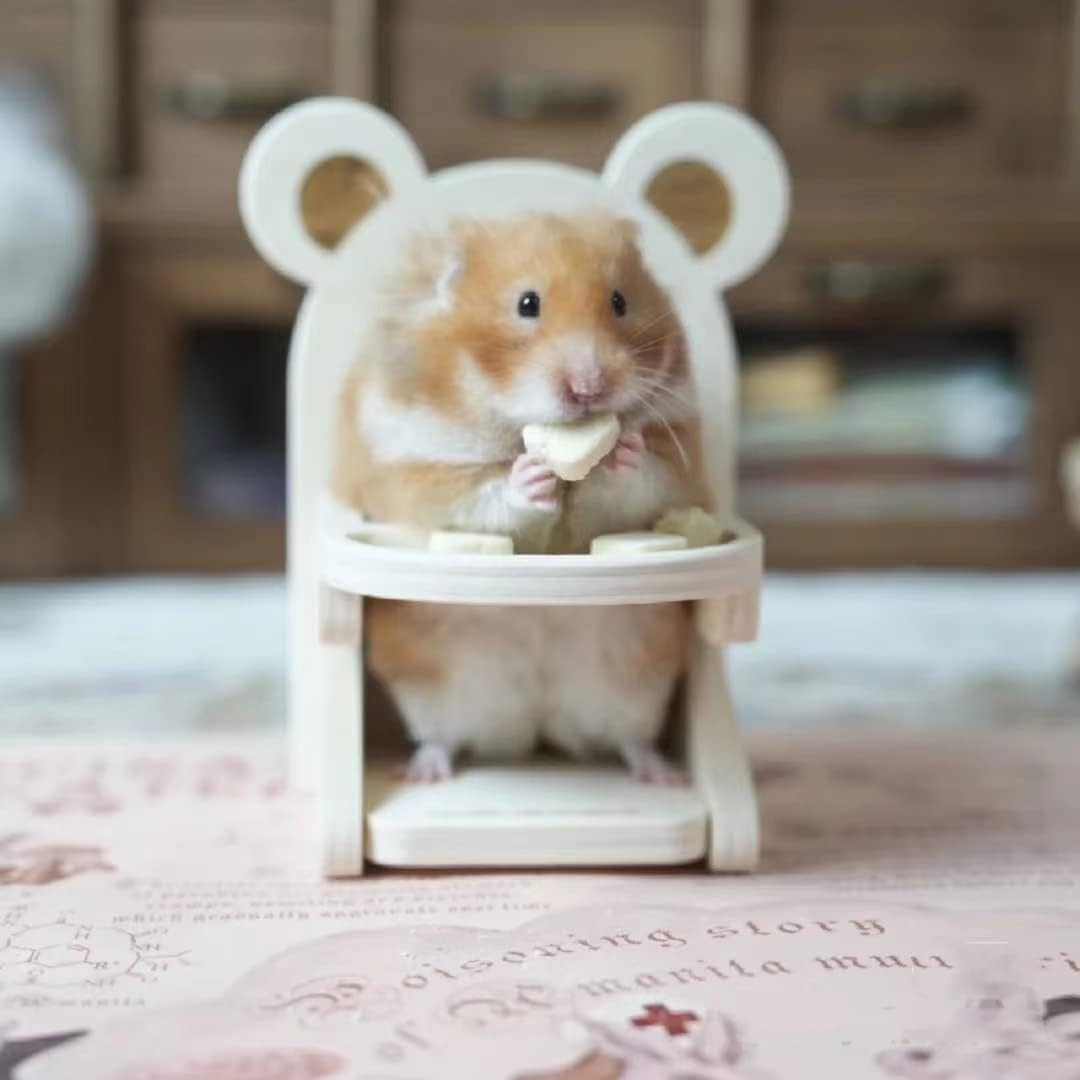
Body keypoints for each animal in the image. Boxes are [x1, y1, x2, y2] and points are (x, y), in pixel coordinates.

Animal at [332, 210, 712, 786]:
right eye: (527, 304)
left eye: (620, 301)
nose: (589, 389)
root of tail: (533, 729)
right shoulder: (415, 471)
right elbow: (480, 494)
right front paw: (531, 475)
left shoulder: (675, 461)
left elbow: (637, 483)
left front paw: (621, 449)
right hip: (430, 687)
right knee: (439, 736)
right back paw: (423, 774)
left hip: (635, 682)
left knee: (630, 738)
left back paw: (662, 775)